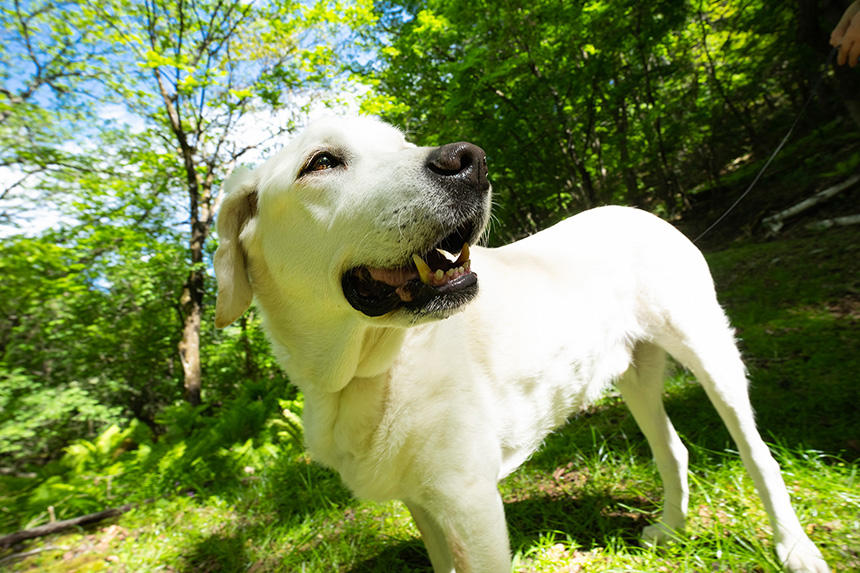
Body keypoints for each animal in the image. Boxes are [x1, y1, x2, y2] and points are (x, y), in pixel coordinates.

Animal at [213, 117, 828, 572]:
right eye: (321, 163)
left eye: (403, 141)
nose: (468, 160)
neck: (365, 373)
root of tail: (638, 211)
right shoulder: (425, 505)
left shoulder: (471, 504)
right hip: (633, 373)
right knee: (672, 449)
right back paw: (672, 528)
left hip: (708, 350)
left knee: (758, 454)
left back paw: (795, 549)